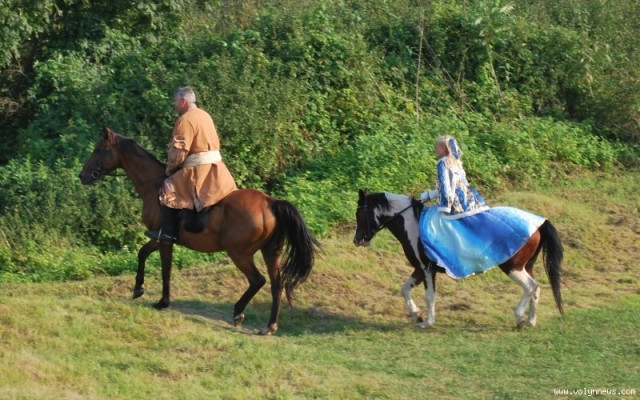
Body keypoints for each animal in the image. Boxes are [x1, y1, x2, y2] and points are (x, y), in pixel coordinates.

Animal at [79, 127, 319, 335]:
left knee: (257, 280)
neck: (153, 187)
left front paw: (162, 301)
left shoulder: (164, 239)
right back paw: (270, 326)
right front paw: (138, 288)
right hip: (270, 251)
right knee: (277, 284)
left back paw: (238, 312)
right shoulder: (158, 238)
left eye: (99, 149)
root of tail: (270, 202)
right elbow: (142, 253)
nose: (82, 176)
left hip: (239, 253)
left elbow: (164, 269)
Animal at [353, 189, 564, 329]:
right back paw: (530, 321)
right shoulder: (419, 269)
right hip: (526, 266)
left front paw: (427, 321)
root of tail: (539, 223)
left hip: (513, 267)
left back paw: (519, 318)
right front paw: (417, 315)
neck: (412, 224)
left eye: (360, 213)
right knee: (536, 288)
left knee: (531, 286)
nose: (357, 240)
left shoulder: (426, 269)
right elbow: (404, 289)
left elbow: (430, 296)